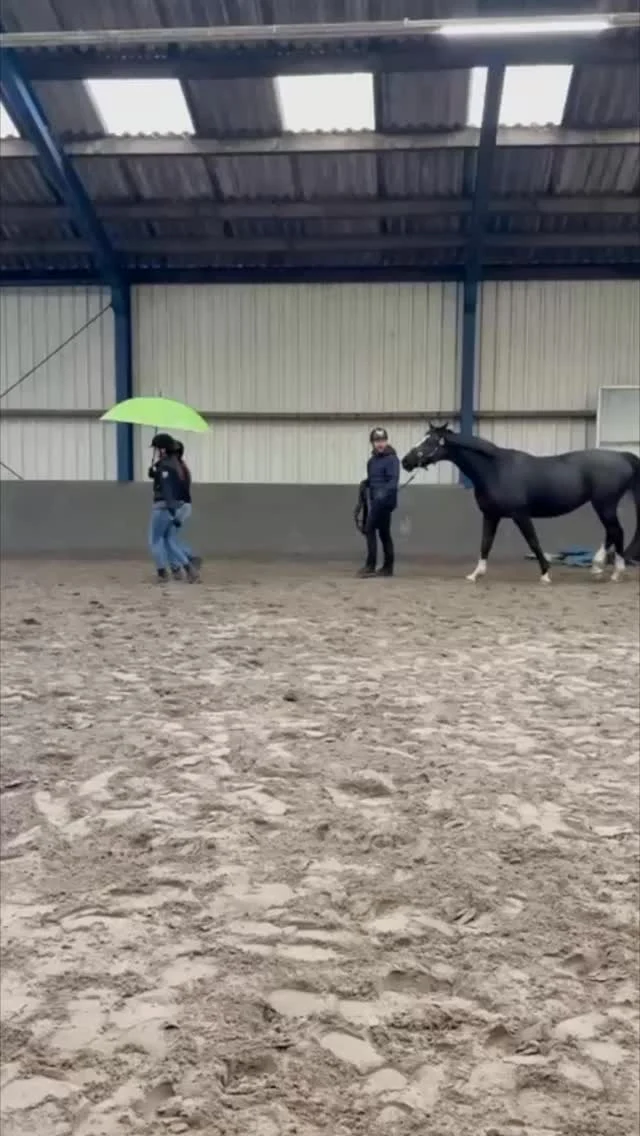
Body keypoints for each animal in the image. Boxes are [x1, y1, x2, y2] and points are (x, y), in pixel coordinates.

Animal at [401, 424, 640, 584]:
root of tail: (622, 456)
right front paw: (476, 574)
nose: (406, 461)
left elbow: (533, 542)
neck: (494, 469)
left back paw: (614, 572)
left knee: (616, 531)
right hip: (604, 505)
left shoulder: (520, 515)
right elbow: (485, 543)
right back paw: (599, 568)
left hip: (604, 504)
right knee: (612, 532)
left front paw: (545, 574)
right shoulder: (491, 515)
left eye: (429, 442)